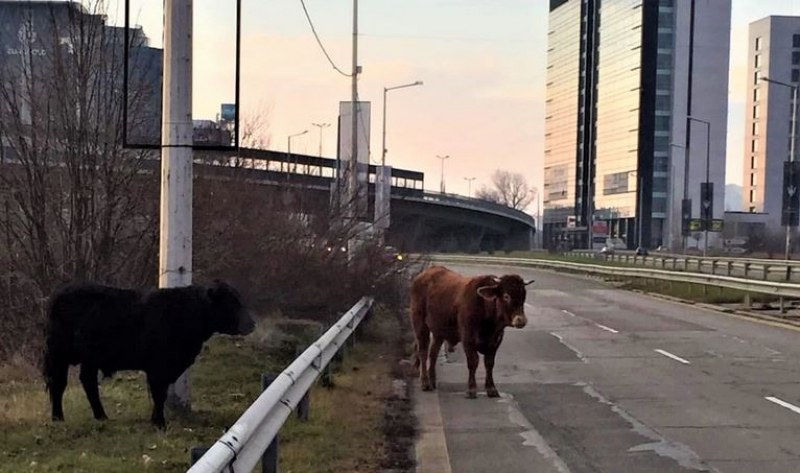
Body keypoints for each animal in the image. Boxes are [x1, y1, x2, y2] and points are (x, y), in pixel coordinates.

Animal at [42, 278, 255, 426]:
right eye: (230, 303)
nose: (251, 323)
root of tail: (60, 291)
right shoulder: (158, 367)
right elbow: (158, 393)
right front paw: (159, 423)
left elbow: (160, 393)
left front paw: (156, 420)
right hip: (59, 354)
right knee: (58, 383)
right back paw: (58, 418)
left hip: (90, 358)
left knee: (87, 381)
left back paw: (101, 416)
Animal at [410, 266, 536, 398]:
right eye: (506, 296)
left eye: (523, 296)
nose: (521, 320)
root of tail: (428, 271)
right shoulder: (468, 339)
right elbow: (473, 362)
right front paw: (471, 389)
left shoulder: (495, 341)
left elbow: (489, 363)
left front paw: (491, 388)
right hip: (419, 323)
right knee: (423, 351)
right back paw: (425, 382)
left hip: (439, 331)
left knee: (433, 352)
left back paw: (432, 380)